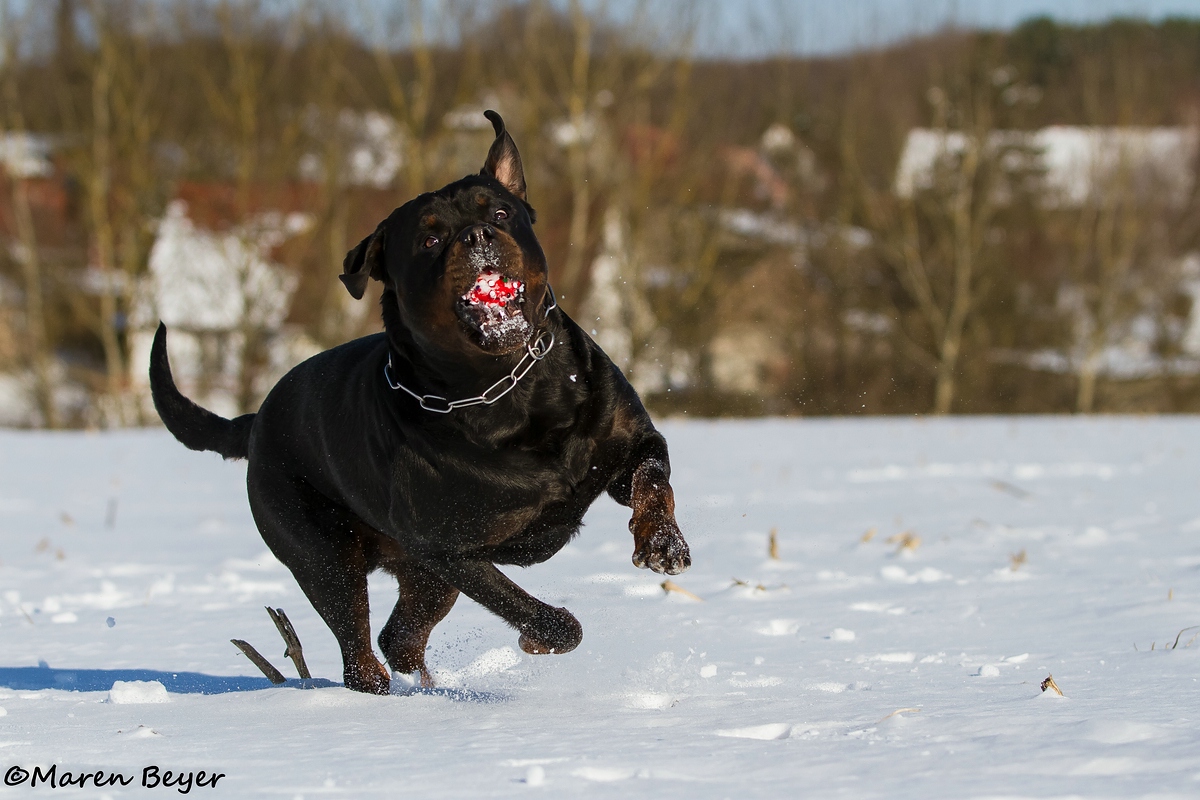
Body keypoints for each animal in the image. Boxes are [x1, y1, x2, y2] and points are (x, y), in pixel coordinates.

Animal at [152, 110, 686, 695]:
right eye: (430, 238)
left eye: (501, 212)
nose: (477, 234)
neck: (510, 387)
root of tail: (255, 422)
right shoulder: (447, 549)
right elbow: (526, 607)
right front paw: (540, 636)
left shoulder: (626, 441)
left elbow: (652, 480)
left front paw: (662, 544)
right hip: (322, 553)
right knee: (361, 650)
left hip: (416, 576)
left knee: (399, 639)